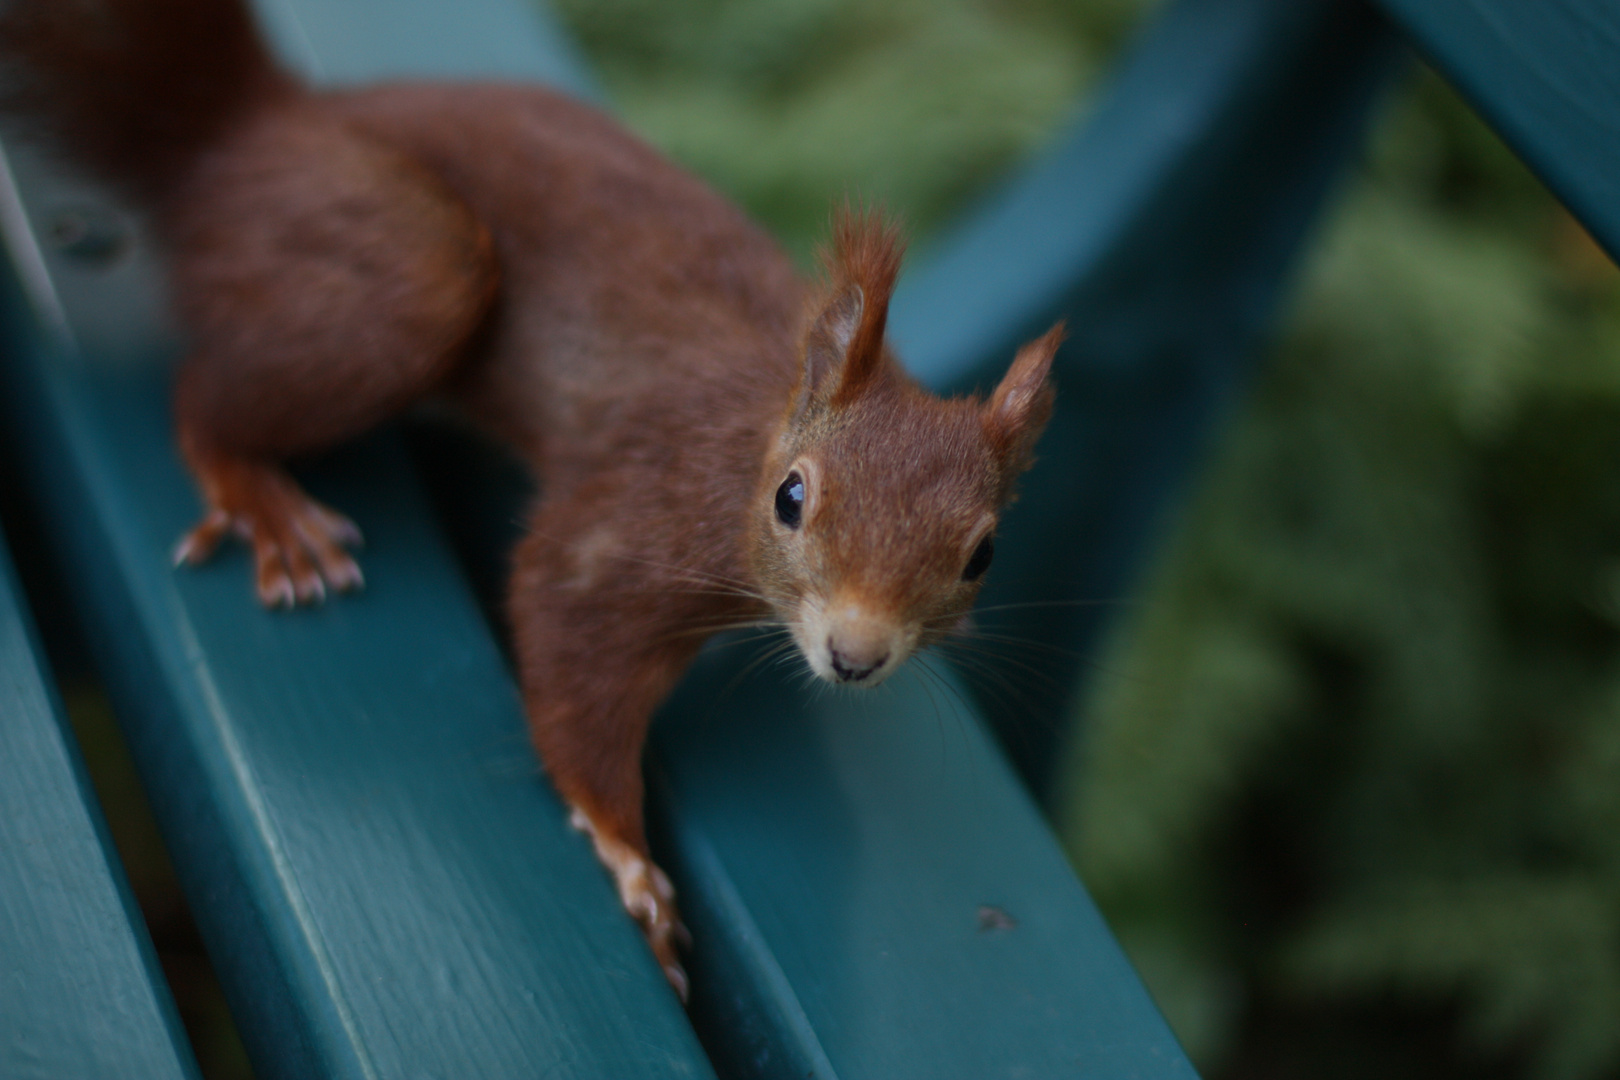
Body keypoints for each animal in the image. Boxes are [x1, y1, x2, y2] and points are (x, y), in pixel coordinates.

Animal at [3, 0, 1062, 1003]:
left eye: (983, 557)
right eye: (792, 498)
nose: (854, 656)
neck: (753, 437)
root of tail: (247, 130)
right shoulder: (626, 523)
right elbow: (569, 655)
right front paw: (629, 858)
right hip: (401, 266)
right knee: (205, 397)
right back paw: (256, 492)